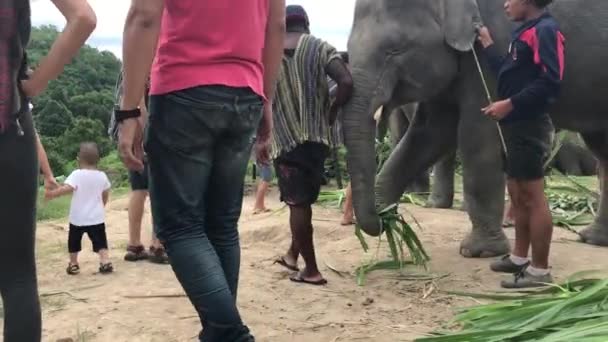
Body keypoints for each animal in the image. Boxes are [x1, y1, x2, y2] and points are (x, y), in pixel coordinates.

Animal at [344, 0, 608, 256]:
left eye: (395, 49)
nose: (384, 217)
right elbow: (428, 133)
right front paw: (386, 212)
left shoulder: (492, 51)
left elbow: (476, 137)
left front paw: (479, 252)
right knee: (602, 150)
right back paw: (593, 239)